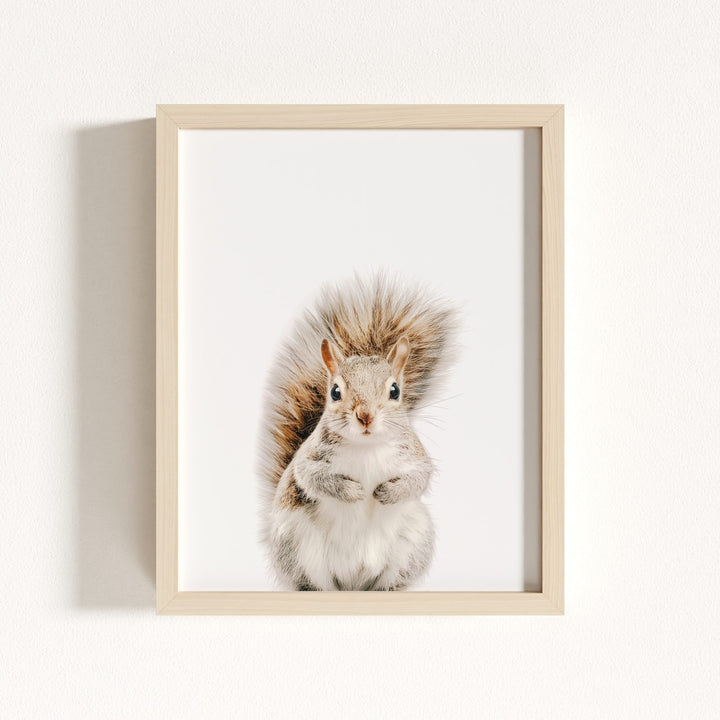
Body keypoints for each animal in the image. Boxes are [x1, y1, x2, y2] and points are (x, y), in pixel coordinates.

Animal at [258, 274, 458, 591]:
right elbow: (311, 477)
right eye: (335, 392)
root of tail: (353, 582)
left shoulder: (414, 455)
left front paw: (386, 492)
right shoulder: (309, 458)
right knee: (315, 582)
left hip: (413, 544)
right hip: (296, 547)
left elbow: (419, 478)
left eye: (395, 390)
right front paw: (353, 491)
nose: (365, 416)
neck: (367, 447)